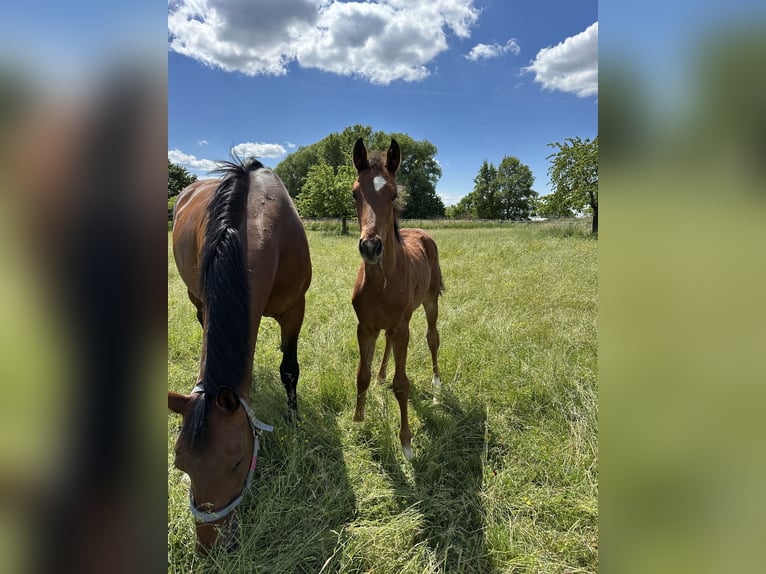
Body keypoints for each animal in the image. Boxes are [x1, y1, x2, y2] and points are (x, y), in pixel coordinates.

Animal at [168, 157, 312, 552]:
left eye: (236, 463)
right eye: (181, 466)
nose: (210, 547)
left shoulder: (295, 310)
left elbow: (289, 369)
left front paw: (294, 421)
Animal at [350, 138, 444, 460]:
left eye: (393, 194)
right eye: (354, 193)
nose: (370, 246)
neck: (382, 282)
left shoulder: (403, 328)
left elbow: (402, 385)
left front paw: (406, 443)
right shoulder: (365, 327)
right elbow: (362, 374)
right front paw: (358, 420)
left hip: (430, 302)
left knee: (433, 337)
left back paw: (437, 383)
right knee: (388, 344)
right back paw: (381, 375)